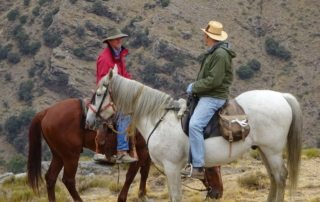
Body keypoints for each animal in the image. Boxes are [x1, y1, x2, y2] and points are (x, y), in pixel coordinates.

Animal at [26, 98, 222, 200]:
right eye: (210, 167)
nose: (218, 192)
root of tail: (47, 112)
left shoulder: (146, 153)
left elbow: (144, 172)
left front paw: (142, 194)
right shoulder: (139, 152)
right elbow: (131, 175)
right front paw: (125, 196)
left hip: (58, 154)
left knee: (50, 178)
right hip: (70, 155)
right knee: (68, 180)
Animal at [86, 67, 302, 201]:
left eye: (99, 94)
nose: (88, 121)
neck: (158, 119)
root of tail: (282, 97)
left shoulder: (172, 167)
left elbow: (176, 197)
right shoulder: (168, 169)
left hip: (272, 151)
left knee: (280, 176)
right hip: (264, 151)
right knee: (273, 177)